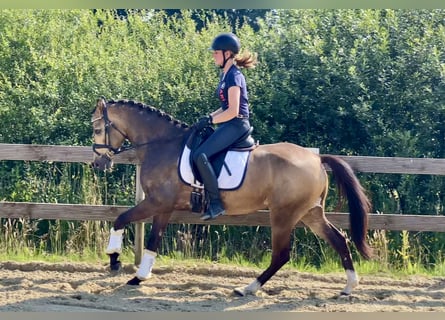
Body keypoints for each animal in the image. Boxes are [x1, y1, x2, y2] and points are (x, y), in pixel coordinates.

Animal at [90, 97, 372, 298]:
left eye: (96, 128)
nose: (98, 164)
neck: (162, 144)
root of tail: (316, 158)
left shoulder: (156, 202)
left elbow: (121, 219)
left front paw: (115, 260)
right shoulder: (164, 207)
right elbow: (152, 241)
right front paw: (139, 276)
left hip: (284, 214)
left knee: (281, 255)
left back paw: (247, 289)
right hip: (310, 213)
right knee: (339, 240)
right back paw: (348, 287)